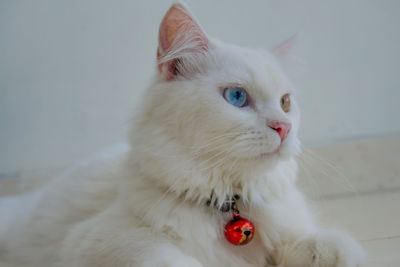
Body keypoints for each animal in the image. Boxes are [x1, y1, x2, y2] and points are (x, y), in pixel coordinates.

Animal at [0, 2, 366, 267]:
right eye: (236, 97)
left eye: (286, 103)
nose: (284, 128)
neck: (227, 202)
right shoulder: (103, 240)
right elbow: (170, 259)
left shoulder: (289, 230)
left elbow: (326, 245)